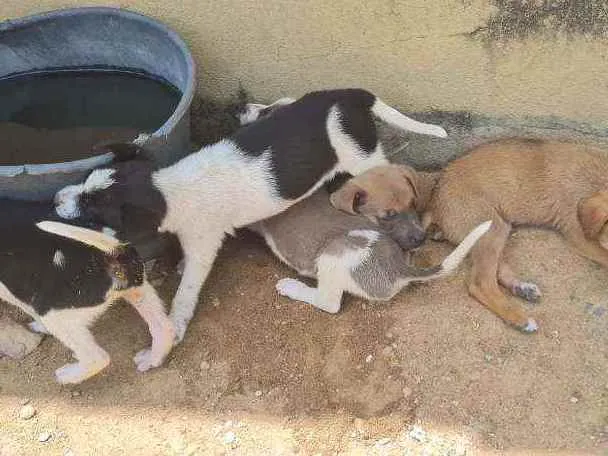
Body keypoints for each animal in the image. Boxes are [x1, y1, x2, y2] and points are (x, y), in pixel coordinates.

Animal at [0, 200, 176, 384]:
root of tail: (113, 254)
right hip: (138, 290)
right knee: (164, 327)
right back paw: (151, 359)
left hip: (56, 315)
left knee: (97, 358)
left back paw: (67, 376)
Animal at [54, 88, 448, 342]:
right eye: (84, 181)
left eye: (92, 207)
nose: (56, 199)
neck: (168, 187)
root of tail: (351, 96)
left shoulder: (203, 244)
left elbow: (186, 291)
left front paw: (176, 324)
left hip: (364, 158)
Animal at [332, 139, 608, 332]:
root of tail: (436, 200)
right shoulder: (578, 234)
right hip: (491, 225)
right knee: (480, 282)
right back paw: (518, 318)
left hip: (493, 229)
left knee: (492, 270)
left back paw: (522, 289)